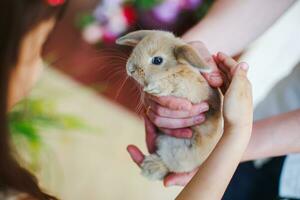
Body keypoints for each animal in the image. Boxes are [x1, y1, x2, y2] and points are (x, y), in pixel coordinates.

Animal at [116, 30, 224, 181]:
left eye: (157, 60)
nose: (130, 69)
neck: (175, 70)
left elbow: (176, 82)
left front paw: (156, 88)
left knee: (169, 166)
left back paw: (150, 166)